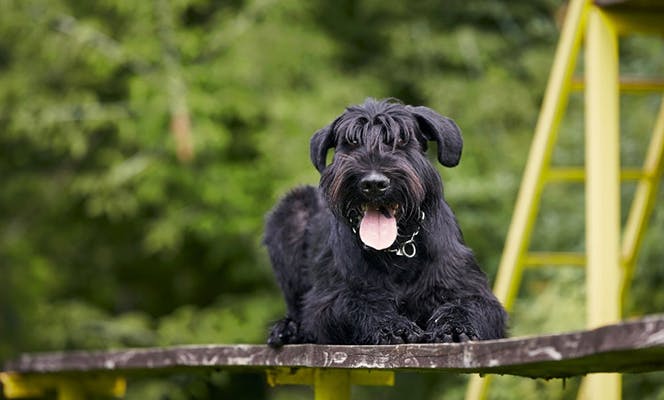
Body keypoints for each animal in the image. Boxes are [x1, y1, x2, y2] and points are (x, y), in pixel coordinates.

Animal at [262, 98, 506, 346]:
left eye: (401, 140)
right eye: (352, 142)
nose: (373, 183)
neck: (396, 250)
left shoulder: (470, 290)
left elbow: (467, 305)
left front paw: (454, 328)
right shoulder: (327, 302)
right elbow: (358, 304)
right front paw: (394, 327)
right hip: (291, 211)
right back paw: (289, 329)